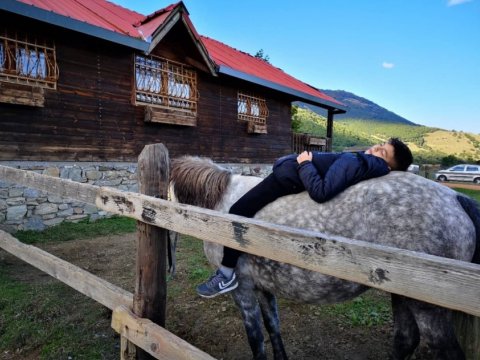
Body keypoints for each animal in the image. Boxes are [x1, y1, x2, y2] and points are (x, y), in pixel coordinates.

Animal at [171, 157, 478, 360]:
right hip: (403, 293)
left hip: (428, 307)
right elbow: (273, 327)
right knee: (405, 339)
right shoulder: (263, 287)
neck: (221, 205)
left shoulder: (242, 288)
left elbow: (256, 338)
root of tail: (455, 199)